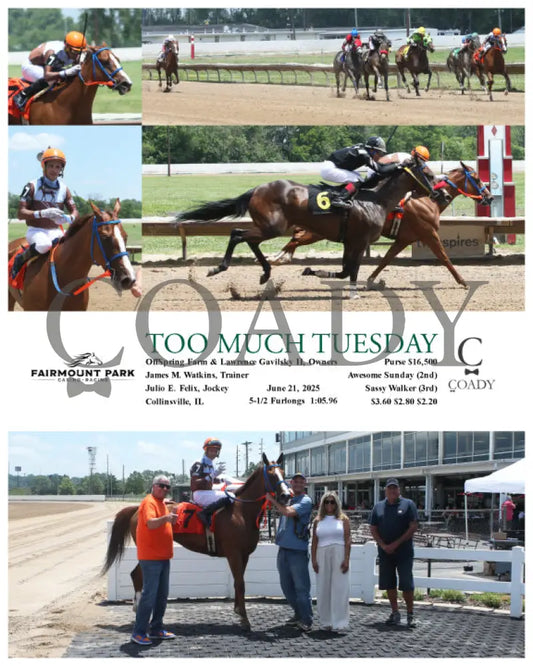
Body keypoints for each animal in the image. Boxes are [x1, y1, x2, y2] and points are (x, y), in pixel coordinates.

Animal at [101, 454, 291, 631]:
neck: (241, 512)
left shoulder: (244, 555)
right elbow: (240, 584)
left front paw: (238, 611)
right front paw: (244, 619)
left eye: (283, 472)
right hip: (148, 551)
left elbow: (239, 582)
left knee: (136, 574)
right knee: (137, 574)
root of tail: (137, 509)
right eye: (272, 475)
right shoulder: (234, 554)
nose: (286, 495)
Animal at [176, 156, 439, 298]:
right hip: (273, 227)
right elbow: (350, 270)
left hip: (270, 227)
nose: (437, 192)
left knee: (245, 237)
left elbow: (345, 271)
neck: (376, 200)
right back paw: (219, 268)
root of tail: (257, 189)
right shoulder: (358, 240)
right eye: (426, 172)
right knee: (238, 235)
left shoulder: (351, 241)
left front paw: (311, 271)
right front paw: (351, 292)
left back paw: (265, 273)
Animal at [267, 163, 493, 289]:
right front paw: (462, 281)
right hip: (318, 232)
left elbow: (386, 260)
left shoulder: (404, 239)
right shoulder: (428, 234)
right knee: (295, 239)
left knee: (295, 238)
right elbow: (445, 258)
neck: (427, 200)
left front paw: (372, 280)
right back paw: (278, 258)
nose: (489, 197)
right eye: (477, 178)